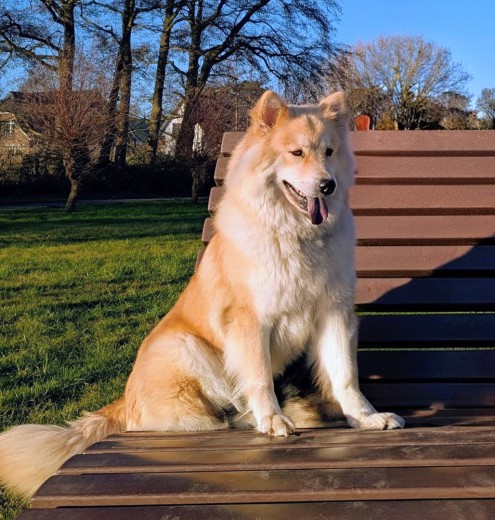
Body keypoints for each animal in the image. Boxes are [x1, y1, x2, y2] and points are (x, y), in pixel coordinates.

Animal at [0, 91, 405, 498]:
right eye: (296, 153)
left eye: (329, 152)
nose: (327, 185)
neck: (298, 236)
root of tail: (122, 400)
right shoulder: (249, 321)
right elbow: (259, 376)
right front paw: (272, 419)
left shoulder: (333, 314)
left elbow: (345, 375)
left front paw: (365, 418)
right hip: (186, 346)